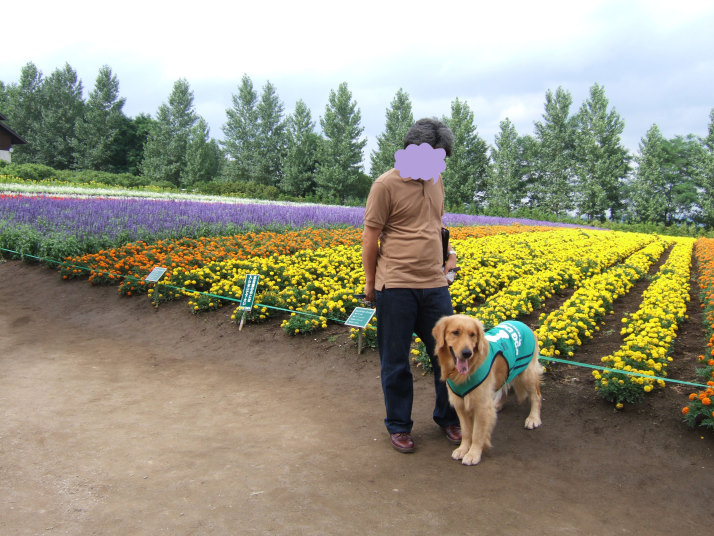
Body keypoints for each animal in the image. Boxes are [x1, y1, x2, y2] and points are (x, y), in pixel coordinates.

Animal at [432, 315, 543, 466]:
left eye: (472, 335)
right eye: (455, 332)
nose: (467, 353)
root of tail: (523, 324)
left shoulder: (481, 406)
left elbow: (477, 433)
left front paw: (473, 454)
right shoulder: (460, 405)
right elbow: (466, 432)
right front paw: (463, 449)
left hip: (527, 374)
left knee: (536, 396)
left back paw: (533, 418)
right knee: (504, 387)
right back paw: (498, 404)